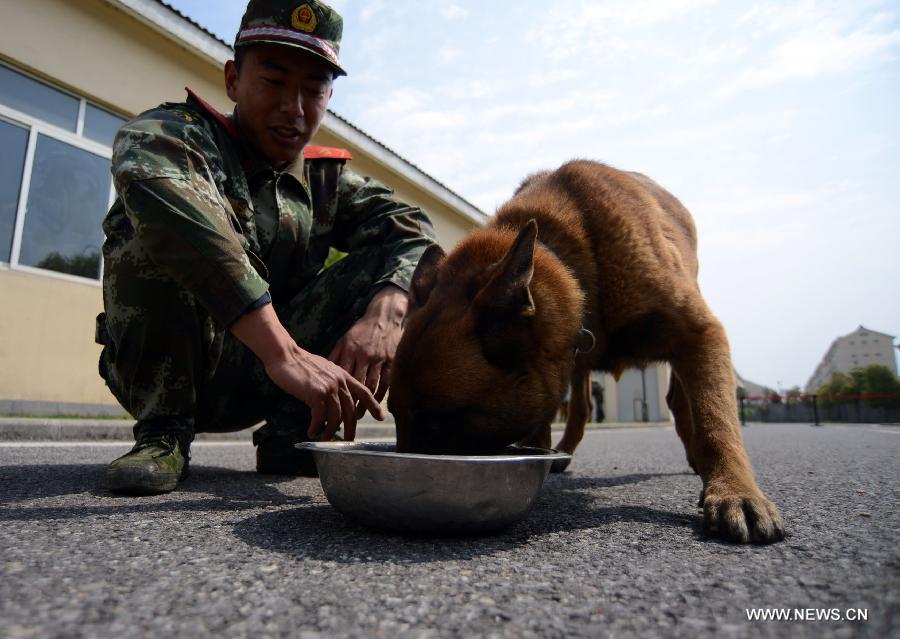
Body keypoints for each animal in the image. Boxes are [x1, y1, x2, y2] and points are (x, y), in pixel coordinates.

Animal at [390, 160, 784, 544]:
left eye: (436, 422)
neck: (570, 256)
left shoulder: (700, 333)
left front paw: (736, 492)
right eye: (393, 413)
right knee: (583, 406)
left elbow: (717, 420)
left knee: (680, 401)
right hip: (578, 364)